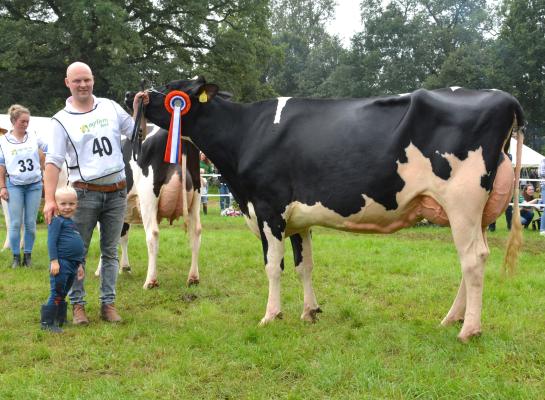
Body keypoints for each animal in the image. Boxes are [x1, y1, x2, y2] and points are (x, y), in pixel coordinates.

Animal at [127, 77, 524, 340]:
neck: (245, 134)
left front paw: (271, 315)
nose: (139, 94)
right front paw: (310, 311)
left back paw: (468, 329)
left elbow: (272, 267)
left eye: (174, 90)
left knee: (472, 260)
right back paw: (452, 319)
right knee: (472, 260)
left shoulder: (268, 209)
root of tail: (503, 97)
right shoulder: (298, 219)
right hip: (474, 213)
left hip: (462, 203)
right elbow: (304, 266)